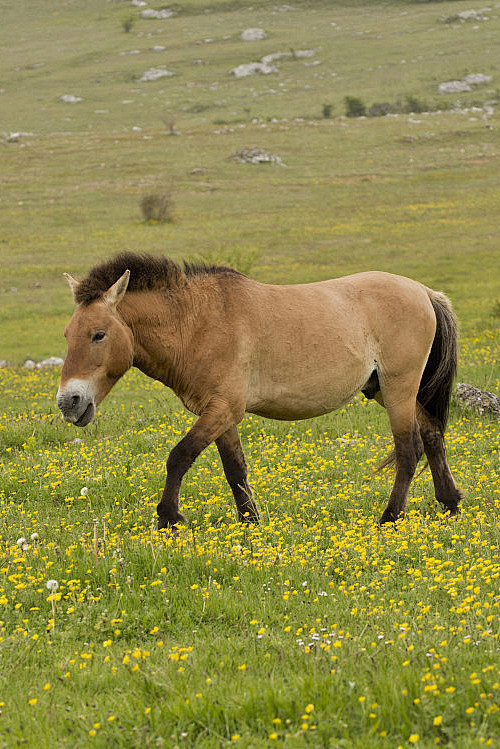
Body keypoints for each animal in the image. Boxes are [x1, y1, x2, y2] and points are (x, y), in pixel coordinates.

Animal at [57, 252, 461, 528]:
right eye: (67, 335)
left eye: (98, 334)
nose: (68, 402)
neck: (198, 322)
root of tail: (424, 292)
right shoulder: (219, 413)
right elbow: (234, 468)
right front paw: (250, 521)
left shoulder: (223, 409)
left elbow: (179, 456)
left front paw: (169, 518)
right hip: (385, 391)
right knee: (432, 435)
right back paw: (451, 502)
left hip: (398, 390)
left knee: (409, 449)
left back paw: (389, 517)